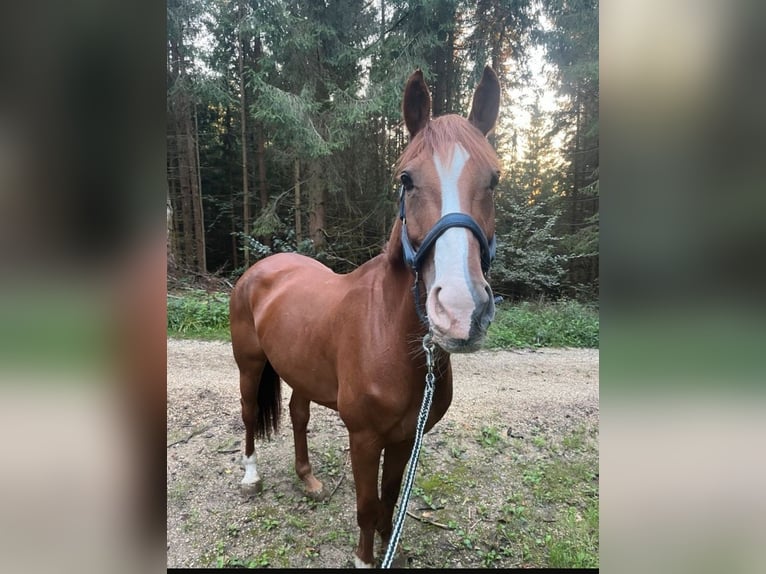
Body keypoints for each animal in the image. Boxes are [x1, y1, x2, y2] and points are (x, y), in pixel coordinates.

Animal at [229, 66, 501, 568]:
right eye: (406, 179)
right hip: (250, 365)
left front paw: (389, 545)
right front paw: (363, 556)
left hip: (300, 367)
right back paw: (250, 477)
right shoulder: (365, 438)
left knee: (298, 414)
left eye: (493, 179)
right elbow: (365, 504)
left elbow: (389, 501)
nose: (459, 310)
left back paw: (308, 478)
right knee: (248, 413)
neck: (392, 336)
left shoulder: (404, 438)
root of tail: (261, 268)